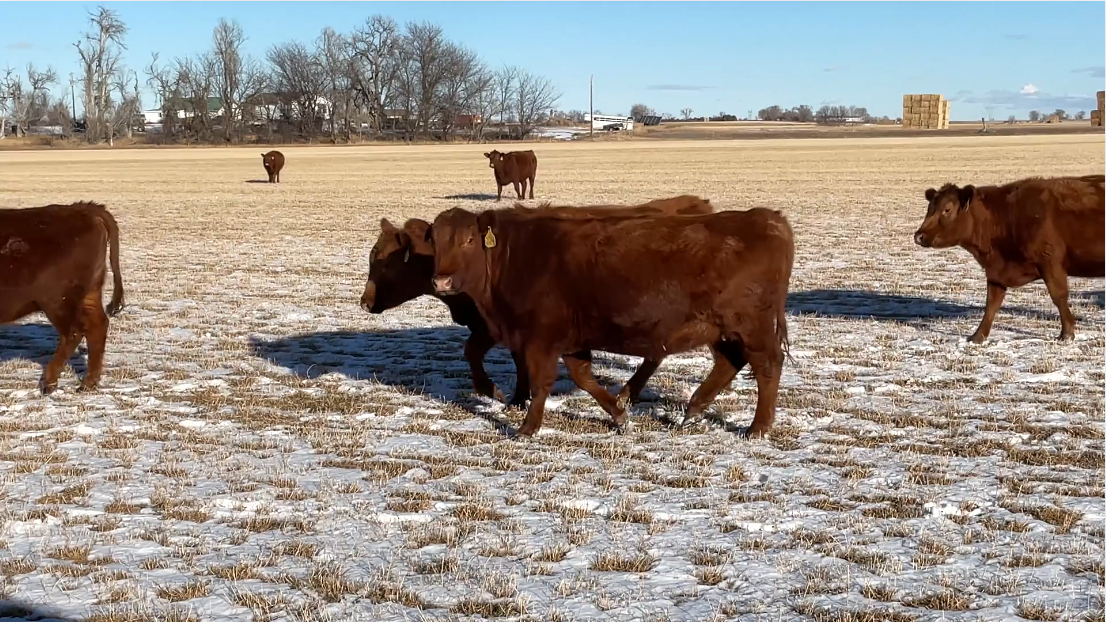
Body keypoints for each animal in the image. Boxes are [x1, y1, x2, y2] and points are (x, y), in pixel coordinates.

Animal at [0, 201, 126, 389]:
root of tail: (85, 209)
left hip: (57, 301)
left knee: (73, 333)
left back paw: (48, 382)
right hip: (88, 294)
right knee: (97, 326)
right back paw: (88, 383)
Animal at [358, 193, 712, 407]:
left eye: (386, 263)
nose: (365, 301)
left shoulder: (494, 326)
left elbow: (473, 352)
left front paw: (497, 392)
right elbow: (517, 359)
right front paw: (519, 396)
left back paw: (627, 394)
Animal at [426, 203, 791, 436]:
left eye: (468, 240)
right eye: (436, 242)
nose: (441, 281)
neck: (514, 257)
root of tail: (766, 218)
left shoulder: (541, 338)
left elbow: (541, 382)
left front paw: (527, 428)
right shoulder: (570, 339)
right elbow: (584, 377)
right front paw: (619, 415)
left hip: (750, 326)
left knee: (767, 365)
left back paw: (758, 427)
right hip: (723, 330)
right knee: (730, 362)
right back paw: (693, 411)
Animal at [915, 171, 1106, 340]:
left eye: (947, 209)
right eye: (929, 208)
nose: (919, 236)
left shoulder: (1050, 263)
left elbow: (1059, 297)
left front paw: (1066, 334)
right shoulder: (996, 272)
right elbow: (991, 304)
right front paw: (978, 337)